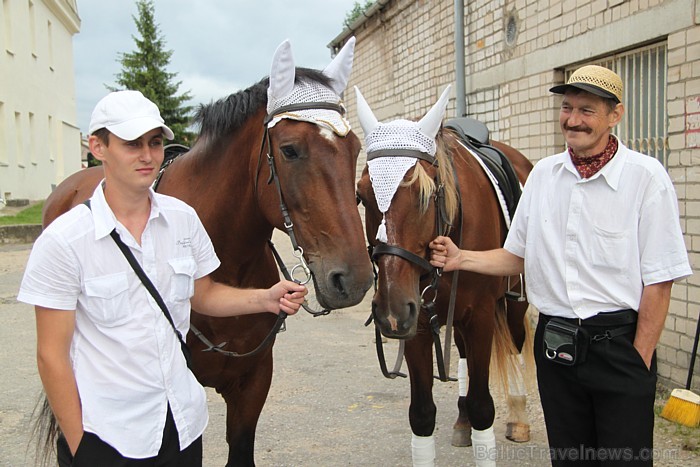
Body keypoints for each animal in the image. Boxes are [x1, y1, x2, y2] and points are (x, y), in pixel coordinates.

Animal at [358, 86, 532, 466]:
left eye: (426, 194)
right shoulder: (419, 323)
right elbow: (422, 415)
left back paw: (518, 418)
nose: (391, 309)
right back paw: (462, 421)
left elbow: (484, 408)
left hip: (513, 305)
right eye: (362, 196)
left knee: (516, 346)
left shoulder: (481, 316)